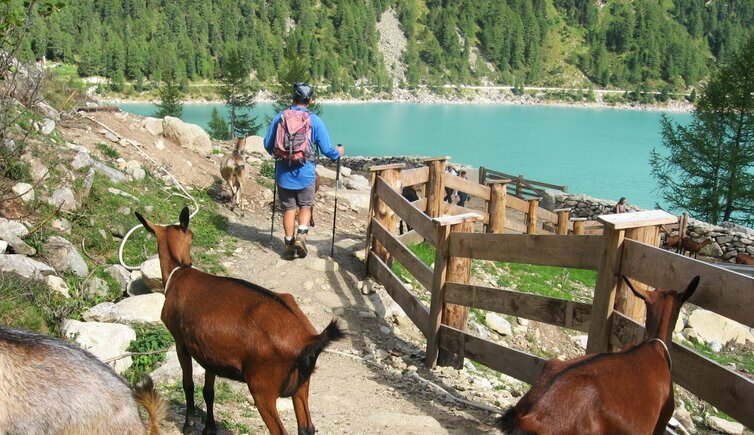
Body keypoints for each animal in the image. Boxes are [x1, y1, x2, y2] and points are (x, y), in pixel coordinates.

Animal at [134, 209, 344, 435]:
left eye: (192, 235)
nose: (188, 260)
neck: (178, 273)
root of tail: (309, 338)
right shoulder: (209, 353)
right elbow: (208, 390)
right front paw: (210, 428)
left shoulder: (180, 341)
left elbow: (188, 383)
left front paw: (189, 425)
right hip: (302, 385)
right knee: (307, 428)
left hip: (262, 387)